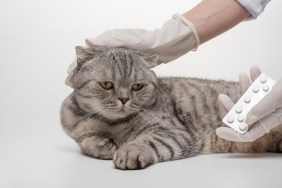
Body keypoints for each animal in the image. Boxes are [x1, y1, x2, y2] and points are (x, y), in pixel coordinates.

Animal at [60, 46, 282, 170]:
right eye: (106, 84)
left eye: (137, 86)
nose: (123, 99)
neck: (112, 125)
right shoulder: (76, 130)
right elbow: (86, 141)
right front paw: (103, 145)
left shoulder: (174, 131)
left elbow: (147, 141)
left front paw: (128, 151)